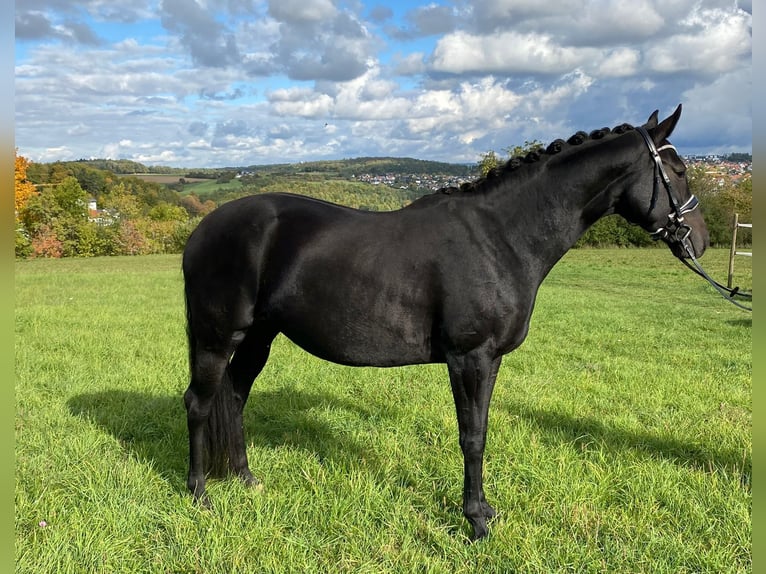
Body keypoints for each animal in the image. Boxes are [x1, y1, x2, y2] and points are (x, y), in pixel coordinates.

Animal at [183, 106, 712, 544]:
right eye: (679, 171)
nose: (700, 240)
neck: (501, 237)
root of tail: (204, 228)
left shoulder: (490, 360)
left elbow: (482, 431)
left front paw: (484, 511)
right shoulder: (469, 358)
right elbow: (471, 437)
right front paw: (476, 521)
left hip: (259, 337)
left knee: (235, 396)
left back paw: (246, 480)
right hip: (216, 337)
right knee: (199, 403)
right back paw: (200, 495)